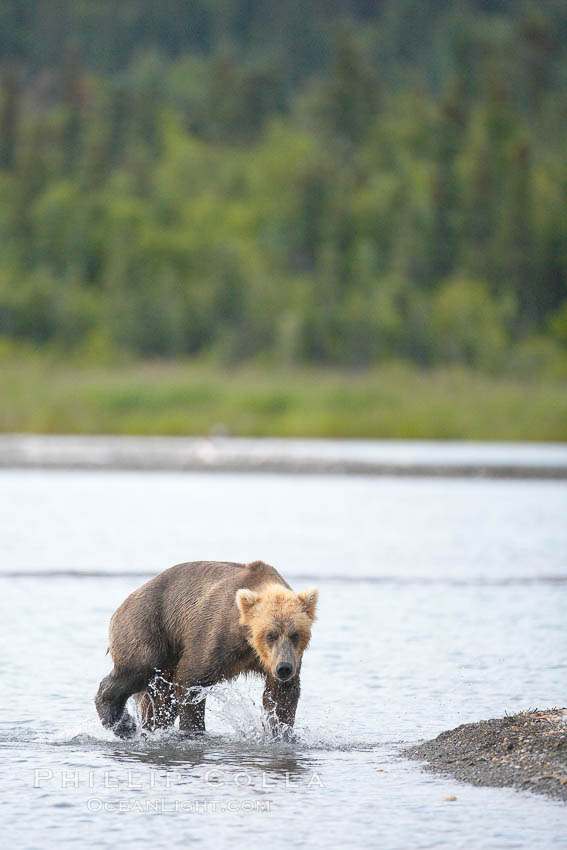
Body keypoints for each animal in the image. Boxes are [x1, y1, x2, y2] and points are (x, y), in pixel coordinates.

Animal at [97, 560, 320, 732]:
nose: (284, 668)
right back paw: (121, 723)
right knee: (137, 669)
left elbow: (281, 696)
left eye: (296, 634)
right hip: (148, 626)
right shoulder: (217, 636)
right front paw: (194, 729)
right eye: (270, 635)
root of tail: (122, 605)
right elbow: (191, 678)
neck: (249, 645)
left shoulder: (281, 659)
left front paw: (281, 732)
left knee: (159, 698)